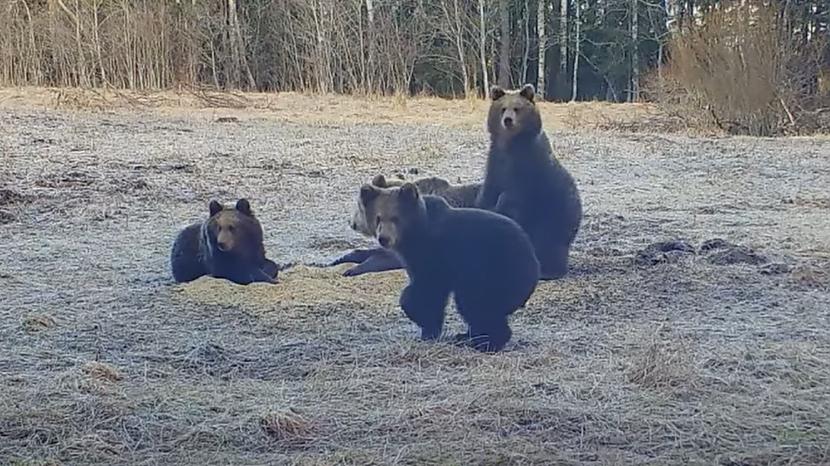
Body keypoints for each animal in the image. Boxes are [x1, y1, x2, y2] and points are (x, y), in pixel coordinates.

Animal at [360, 180, 544, 352]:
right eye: (378, 217)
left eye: (395, 217)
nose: (384, 238)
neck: (415, 233)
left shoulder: (436, 255)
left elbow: (429, 292)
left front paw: (426, 326)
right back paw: (467, 336)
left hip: (495, 272)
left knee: (477, 305)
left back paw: (486, 342)